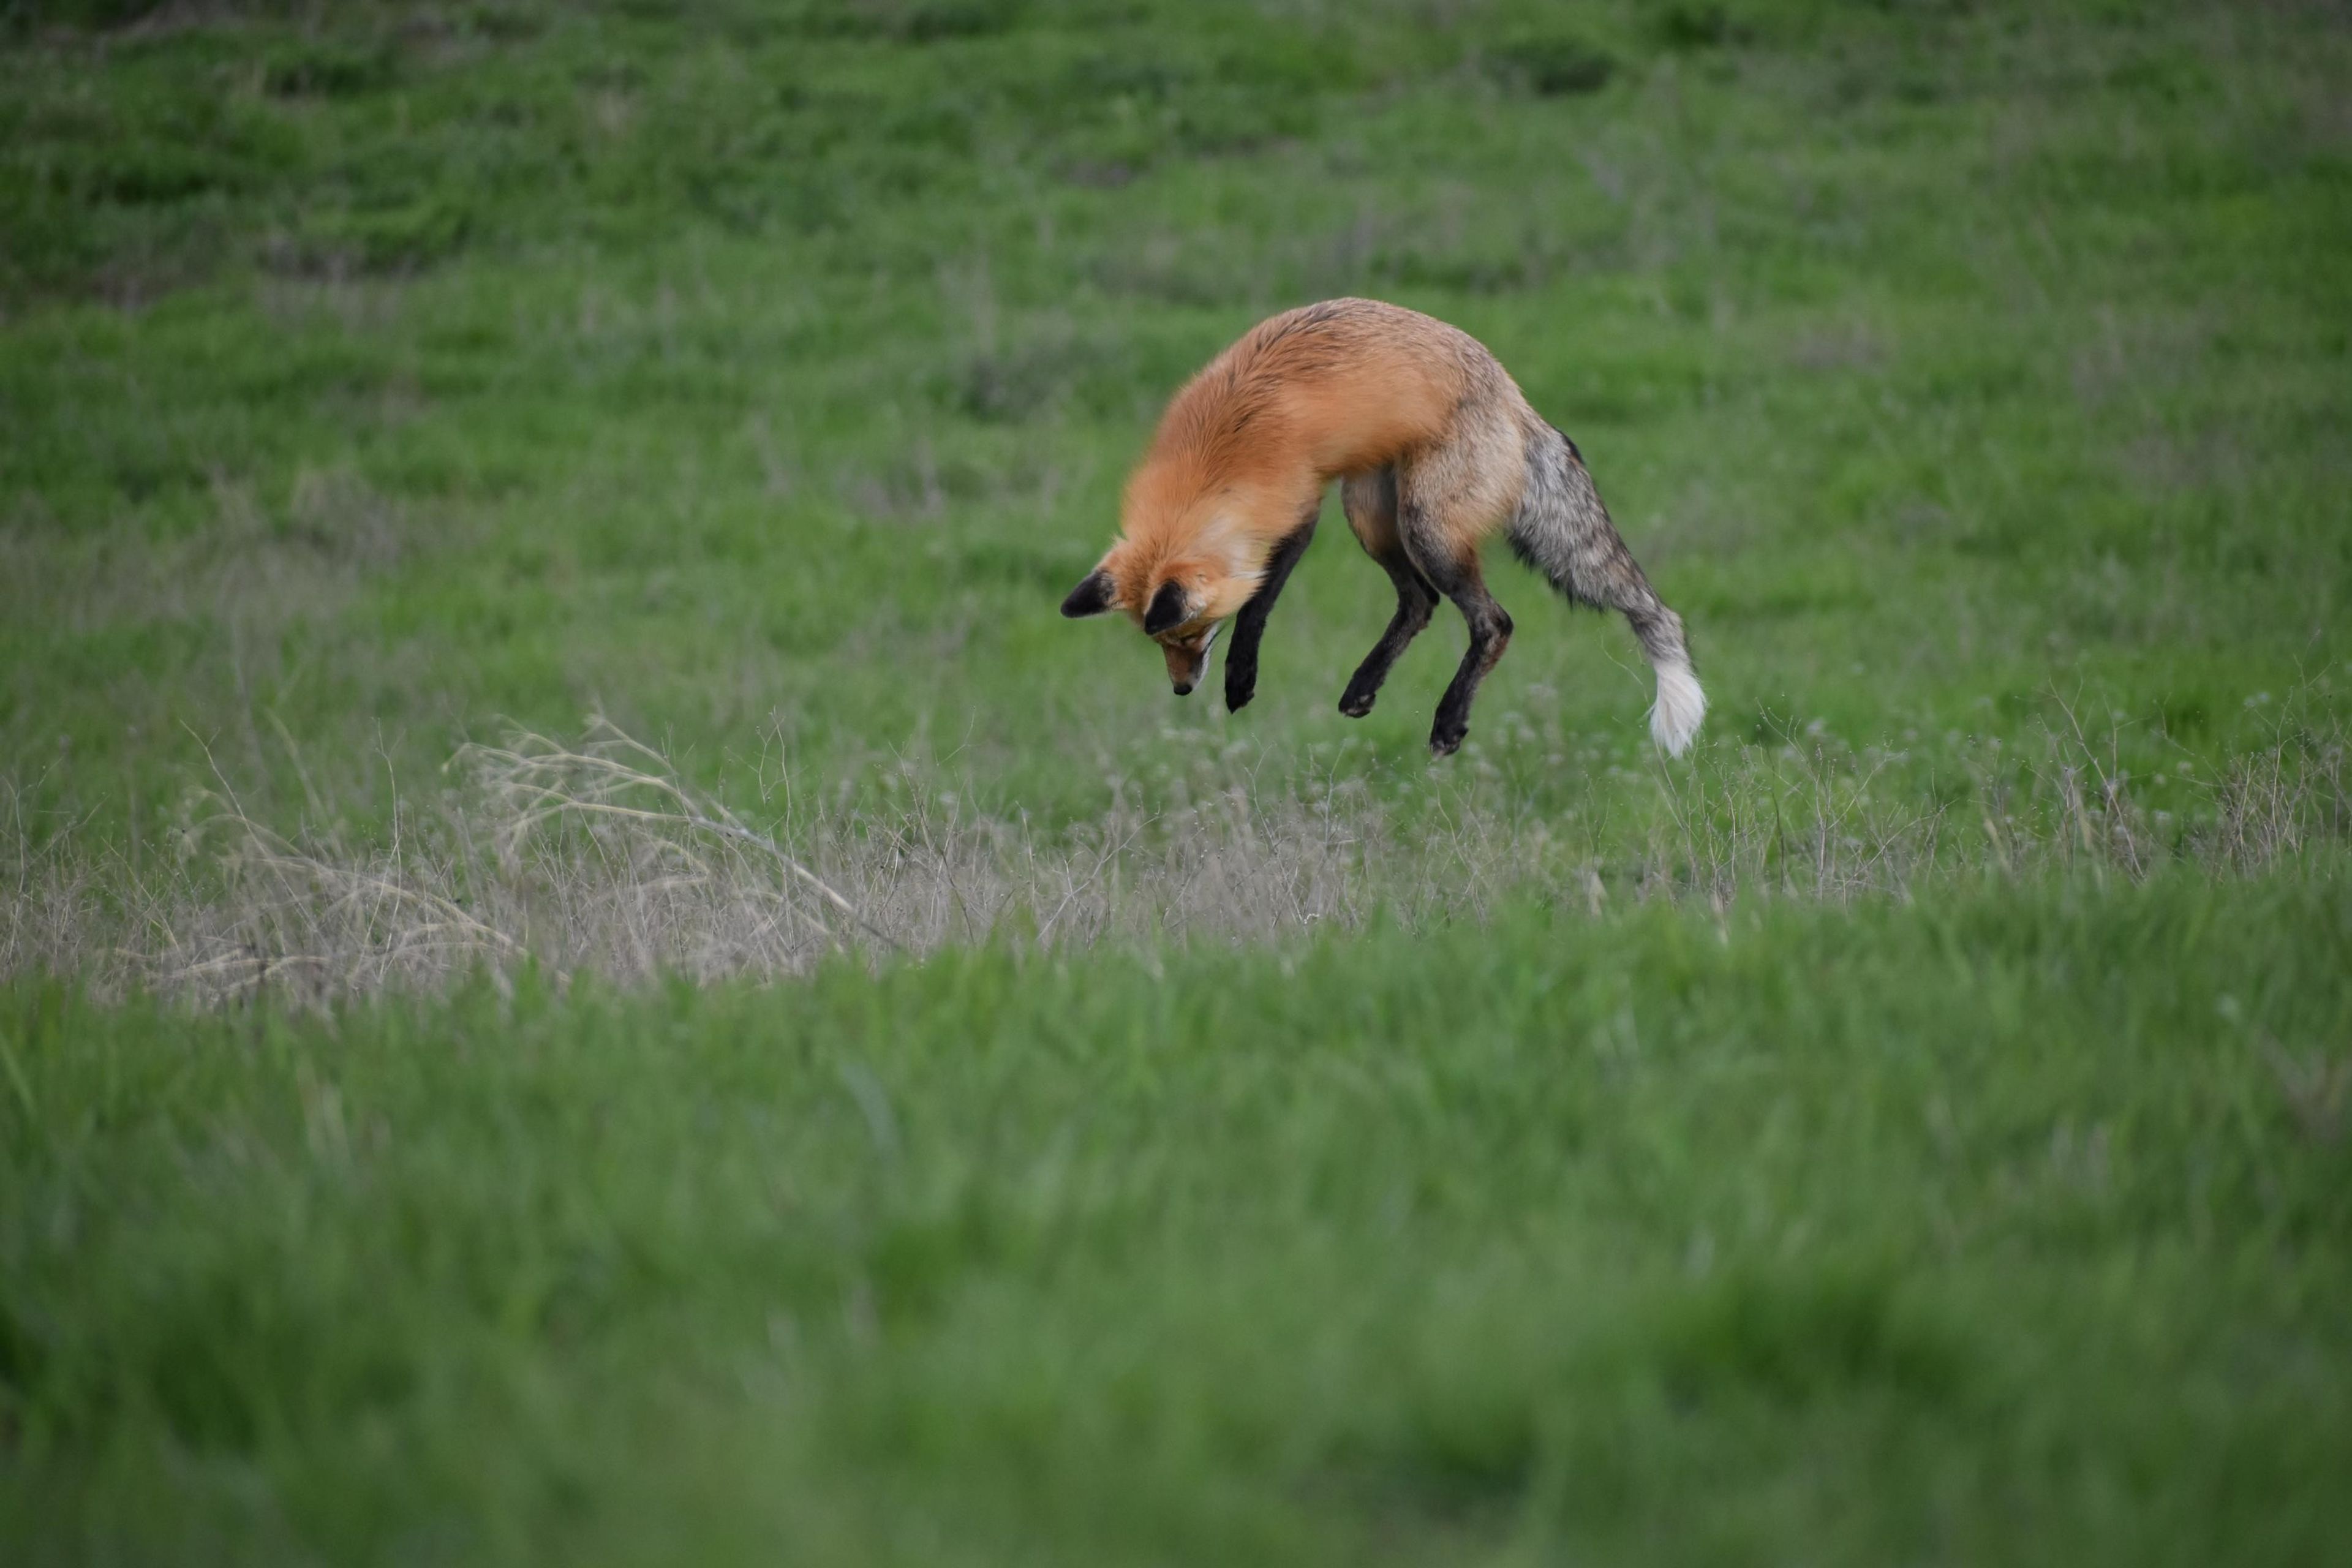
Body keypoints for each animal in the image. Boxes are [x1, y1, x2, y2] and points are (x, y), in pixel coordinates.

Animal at [1058, 298, 1703, 761]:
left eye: (1191, 635)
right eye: (1161, 645)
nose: (1181, 690)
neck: (1216, 456)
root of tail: (1519, 404)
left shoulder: (1298, 510)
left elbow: (1259, 603)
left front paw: (1240, 678)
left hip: (1425, 526)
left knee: (1493, 623)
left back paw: (1448, 722)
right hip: (1369, 513)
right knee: (1419, 603)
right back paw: (1363, 687)